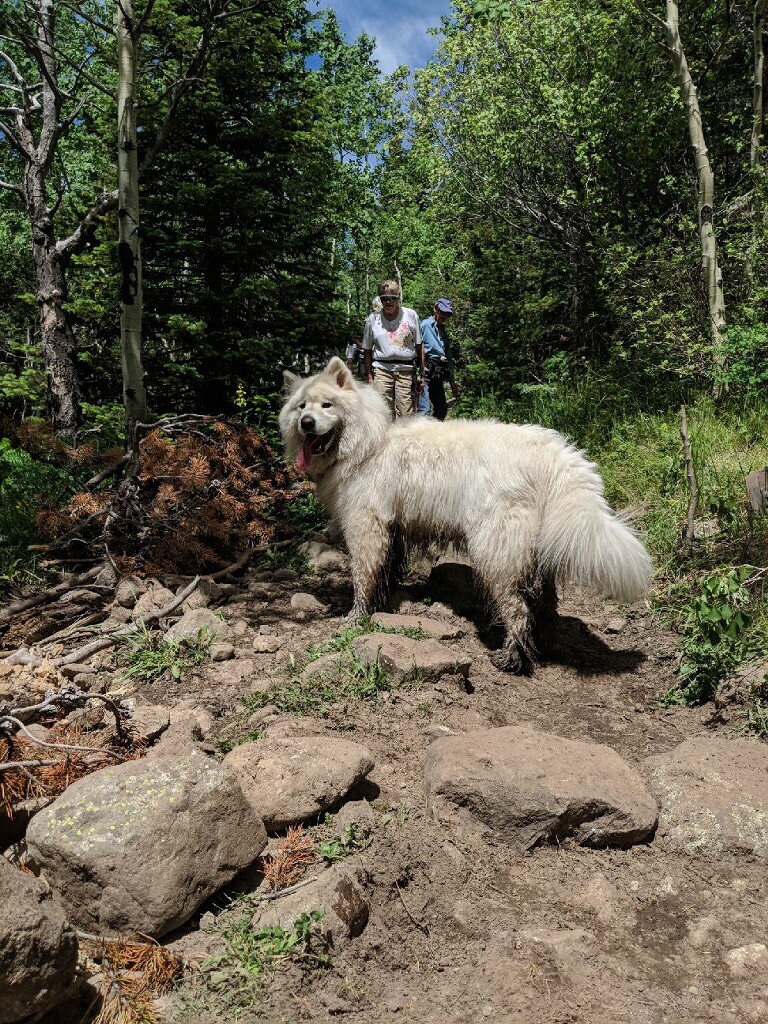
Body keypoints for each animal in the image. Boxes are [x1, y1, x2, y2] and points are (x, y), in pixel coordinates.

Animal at [280, 358, 651, 671]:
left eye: (327, 405)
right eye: (301, 406)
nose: (306, 423)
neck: (367, 444)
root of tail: (554, 454)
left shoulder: (365, 525)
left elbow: (363, 577)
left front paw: (356, 617)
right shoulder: (392, 528)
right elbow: (387, 570)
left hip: (496, 550)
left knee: (517, 608)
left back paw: (512, 657)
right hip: (532, 550)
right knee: (543, 603)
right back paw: (544, 644)